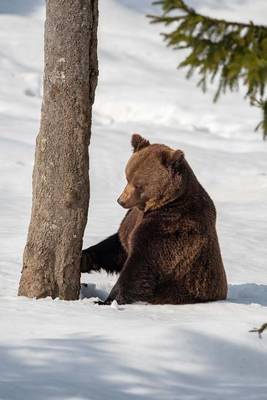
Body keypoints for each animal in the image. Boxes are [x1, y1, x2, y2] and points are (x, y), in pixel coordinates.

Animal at [80, 133, 227, 304]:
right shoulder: (132, 220)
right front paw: (83, 258)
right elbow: (117, 245)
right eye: (127, 176)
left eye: (139, 184)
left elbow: (141, 265)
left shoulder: (169, 227)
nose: (121, 201)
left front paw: (106, 300)